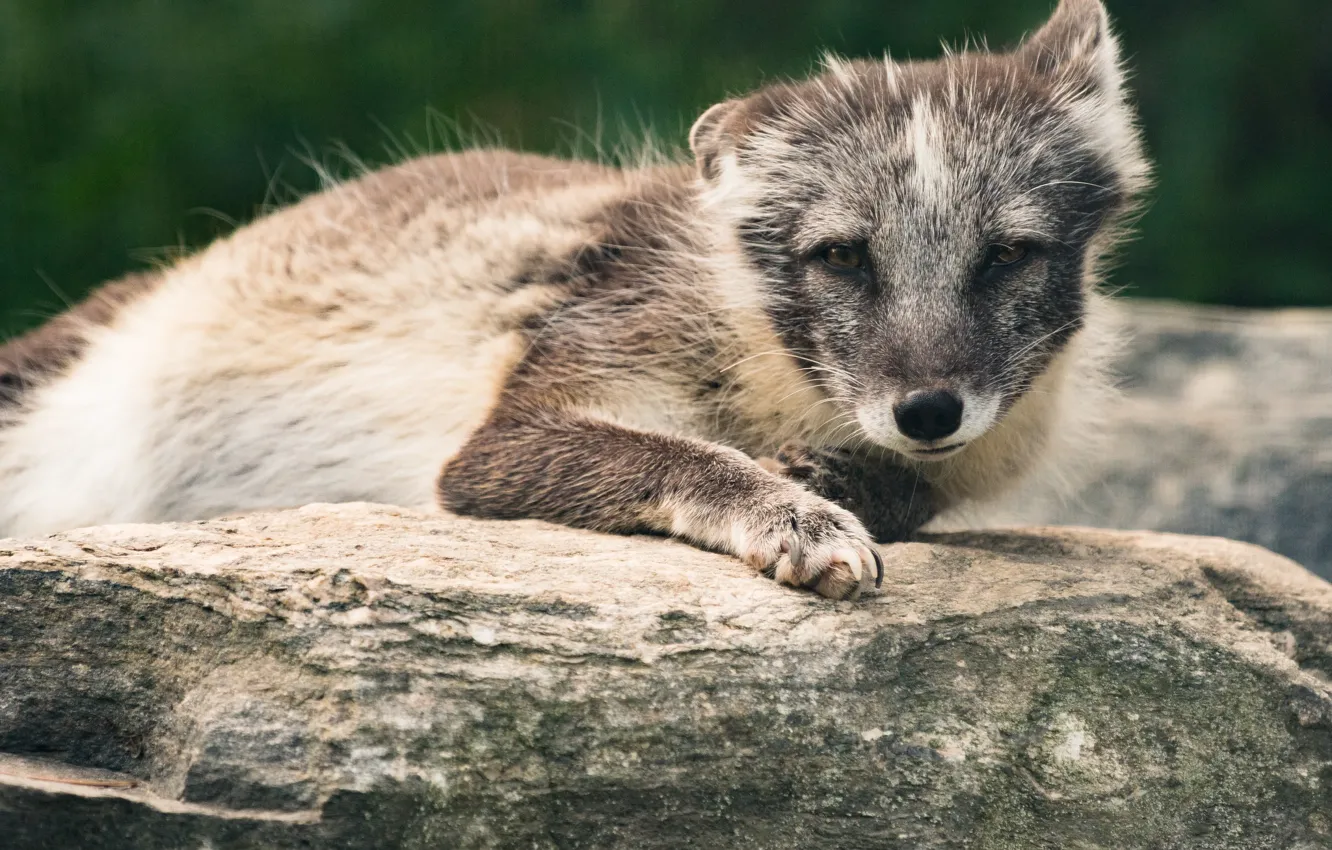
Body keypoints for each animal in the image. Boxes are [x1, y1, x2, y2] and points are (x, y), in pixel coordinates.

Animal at [0, 0, 1147, 599]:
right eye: (842, 257)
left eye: (1008, 257)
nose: (928, 411)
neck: (770, 376)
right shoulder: (503, 435)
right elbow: (678, 454)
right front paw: (798, 513)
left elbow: (906, 492)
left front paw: (842, 482)